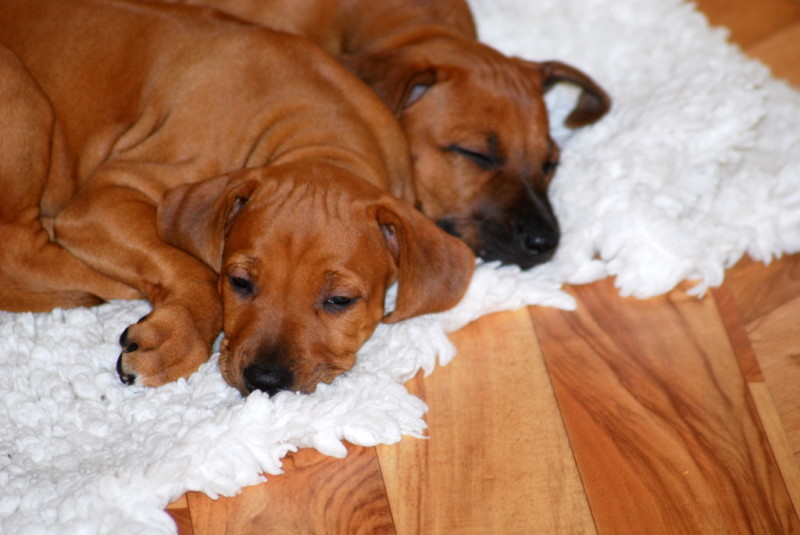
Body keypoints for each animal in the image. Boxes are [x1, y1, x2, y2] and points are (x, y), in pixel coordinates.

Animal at [0, 0, 474, 395]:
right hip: (23, 95)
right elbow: (193, 268)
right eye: (240, 282)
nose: (265, 379)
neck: (318, 131)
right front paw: (175, 340)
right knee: (20, 251)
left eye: (340, 301)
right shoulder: (107, 195)